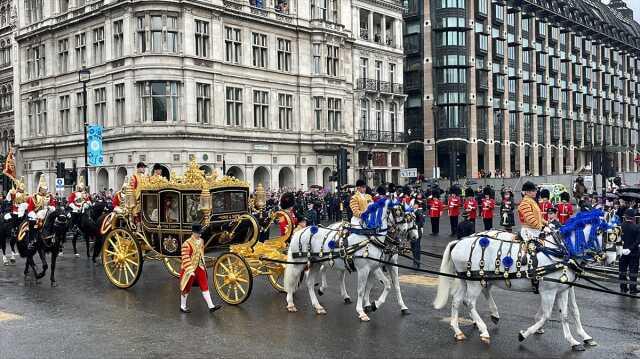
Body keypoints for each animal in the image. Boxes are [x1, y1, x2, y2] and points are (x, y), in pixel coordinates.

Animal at [436, 210, 608, 352]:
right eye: (603, 232)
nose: (608, 258)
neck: (560, 251)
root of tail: (459, 241)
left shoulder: (564, 288)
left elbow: (568, 313)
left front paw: (576, 340)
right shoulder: (549, 291)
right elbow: (547, 315)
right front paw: (524, 334)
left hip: (466, 279)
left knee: (457, 300)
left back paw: (459, 330)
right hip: (475, 281)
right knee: (469, 302)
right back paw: (483, 330)